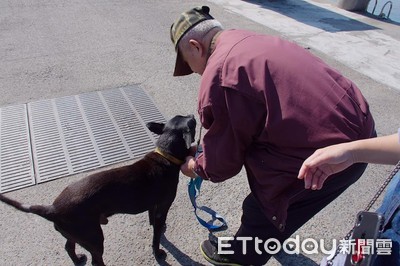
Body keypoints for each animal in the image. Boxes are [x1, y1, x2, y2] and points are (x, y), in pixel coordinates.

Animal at [0, 114, 195, 266]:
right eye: (192, 123)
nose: (193, 114)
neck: (165, 154)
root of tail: (52, 209)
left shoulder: (153, 205)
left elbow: (152, 220)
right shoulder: (163, 207)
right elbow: (156, 237)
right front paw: (158, 252)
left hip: (77, 234)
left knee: (69, 246)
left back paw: (77, 259)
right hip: (94, 237)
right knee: (96, 261)